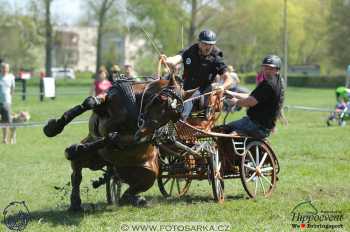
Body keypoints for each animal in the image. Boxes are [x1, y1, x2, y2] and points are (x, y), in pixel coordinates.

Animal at [43, 76, 183, 210]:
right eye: (160, 100)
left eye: (172, 116)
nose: (145, 131)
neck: (135, 106)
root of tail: (115, 170)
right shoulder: (108, 99)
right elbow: (90, 102)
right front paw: (52, 128)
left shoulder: (130, 137)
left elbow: (112, 137)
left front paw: (75, 149)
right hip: (96, 161)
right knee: (77, 176)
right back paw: (75, 202)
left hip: (148, 172)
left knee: (132, 189)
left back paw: (135, 199)